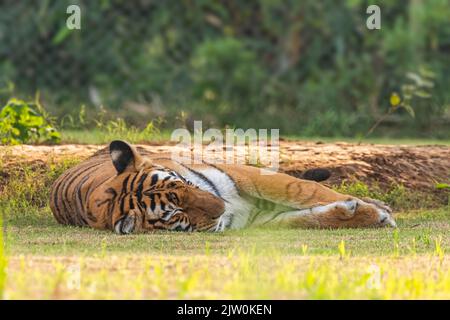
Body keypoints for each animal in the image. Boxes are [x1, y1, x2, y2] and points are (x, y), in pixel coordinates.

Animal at [49, 139, 396, 232]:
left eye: (183, 184)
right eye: (174, 214)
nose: (222, 207)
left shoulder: (246, 176)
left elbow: (305, 192)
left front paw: (380, 211)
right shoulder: (257, 219)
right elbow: (306, 219)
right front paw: (373, 215)